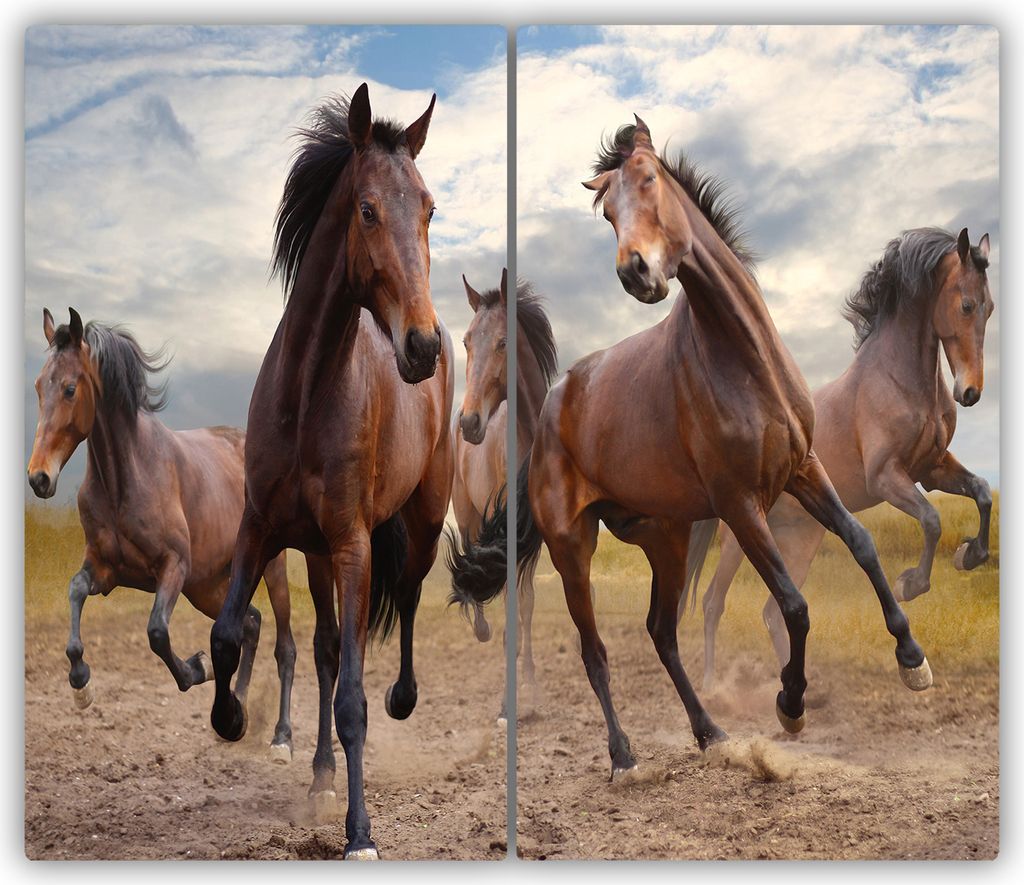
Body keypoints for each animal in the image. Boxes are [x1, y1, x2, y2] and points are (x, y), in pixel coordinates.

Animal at [27, 309, 295, 760]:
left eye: (69, 388)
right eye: (37, 386)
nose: (38, 478)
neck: (126, 478)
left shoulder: (173, 568)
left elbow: (156, 632)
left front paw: (197, 666)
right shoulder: (106, 570)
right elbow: (75, 590)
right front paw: (81, 684)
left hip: (268, 569)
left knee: (284, 647)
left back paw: (281, 739)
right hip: (207, 585)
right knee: (250, 624)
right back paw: (235, 713)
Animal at [207, 84, 454, 860]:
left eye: (429, 208)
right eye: (367, 209)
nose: (423, 345)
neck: (308, 393)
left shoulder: (353, 545)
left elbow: (353, 699)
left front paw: (360, 833)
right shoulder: (260, 528)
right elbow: (229, 635)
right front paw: (231, 720)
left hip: (418, 525)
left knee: (407, 598)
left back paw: (403, 698)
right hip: (312, 554)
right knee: (319, 649)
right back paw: (316, 773)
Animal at [451, 118, 931, 781]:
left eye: (650, 179)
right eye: (607, 212)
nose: (635, 272)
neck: (743, 360)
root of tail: (548, 415)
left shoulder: (803, 469)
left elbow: (860, 545)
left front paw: (912, 660)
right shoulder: (739, 505)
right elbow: (794, 604)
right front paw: (790, 705)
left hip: (667, 538)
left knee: (661, 632)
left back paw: (709, 732)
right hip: (574, 547)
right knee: (595, 650)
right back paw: (624, 756)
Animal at [699, 226, 994, 689]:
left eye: (990, 307)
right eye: (966, 304)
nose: (970, 392)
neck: (900, 380)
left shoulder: (931, 469)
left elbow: (981, 492)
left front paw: (971, 555)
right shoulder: (887, 478)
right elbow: (931, 520)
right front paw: (911, 584)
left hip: (802, 539)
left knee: (772, 614)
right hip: (739, 540)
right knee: (714, 602)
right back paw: (712, 684)